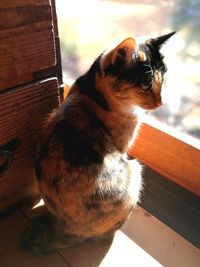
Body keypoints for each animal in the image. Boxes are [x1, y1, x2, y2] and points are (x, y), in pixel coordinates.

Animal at [22, 31, 175, 255]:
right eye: (145, 85)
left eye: (163, 80)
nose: (160, 102)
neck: (92, 92)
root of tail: (64, 229)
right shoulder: (123, 147)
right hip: (134, 175)